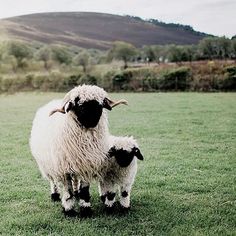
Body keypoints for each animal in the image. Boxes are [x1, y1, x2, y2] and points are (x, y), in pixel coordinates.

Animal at [30, 85, 129, 218]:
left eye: (100, 105)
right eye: (79, 105)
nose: (92, 120)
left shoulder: (86, 164)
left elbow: (84, 191)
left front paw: (86, 210)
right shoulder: (64, 170)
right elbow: (67, 192)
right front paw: (69, 210)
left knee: (75, 180)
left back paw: (76, 192)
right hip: (49, 165)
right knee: (53, 181)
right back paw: (55, 195)